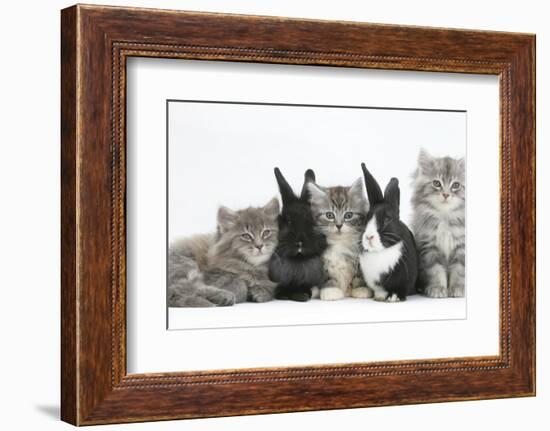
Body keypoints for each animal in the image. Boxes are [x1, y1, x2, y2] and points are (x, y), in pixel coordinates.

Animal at [270, 167, 330, 302]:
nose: (300, 242)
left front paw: (301, 296)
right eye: (288, 221)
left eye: (311, 221)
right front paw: (283, 296)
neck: (298, 259)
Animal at [360, 164, 420, 302]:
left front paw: (394, 297)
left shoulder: (404, 280)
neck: (381, 252)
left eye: (387, 219)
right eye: (366, 218)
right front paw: (379, 297)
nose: (369, 237)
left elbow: (400, 288)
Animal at [412, 150, 468, 298]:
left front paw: (458, 288)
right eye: (436, 183)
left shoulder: (462, 247)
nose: (446, 194)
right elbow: (435, 271)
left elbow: (459, 270)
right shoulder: (429, 246)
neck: (445, 217)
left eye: (456, 185)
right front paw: (437, 288)